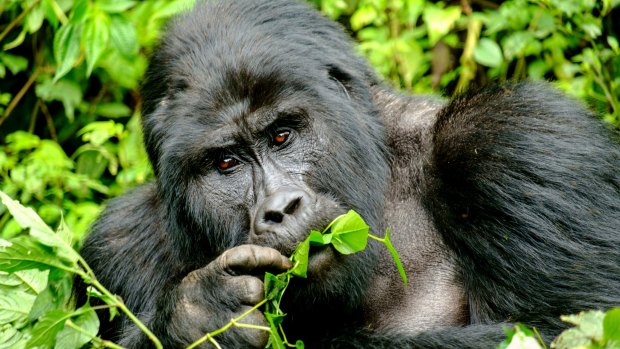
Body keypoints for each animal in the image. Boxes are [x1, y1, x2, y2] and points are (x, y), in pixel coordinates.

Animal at [76, 0, 620, 346]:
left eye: (282, 135)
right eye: (226, 163)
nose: (279, 209)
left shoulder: (518, 140)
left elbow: (564, 329)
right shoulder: (116, 246)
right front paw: (197, 318)